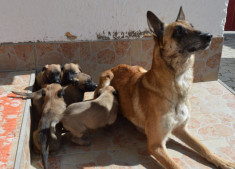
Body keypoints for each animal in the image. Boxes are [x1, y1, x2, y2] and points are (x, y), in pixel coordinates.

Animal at [94, 7, 235, 169]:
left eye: (192, 26)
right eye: (179, 31)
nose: (209, 36)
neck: (179, 83)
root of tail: (117, 66)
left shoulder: (182, 129)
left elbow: (204, 147)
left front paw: (222, 161)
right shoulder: (156, 145)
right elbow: (176, 166)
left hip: (139, 68)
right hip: (106, 78)